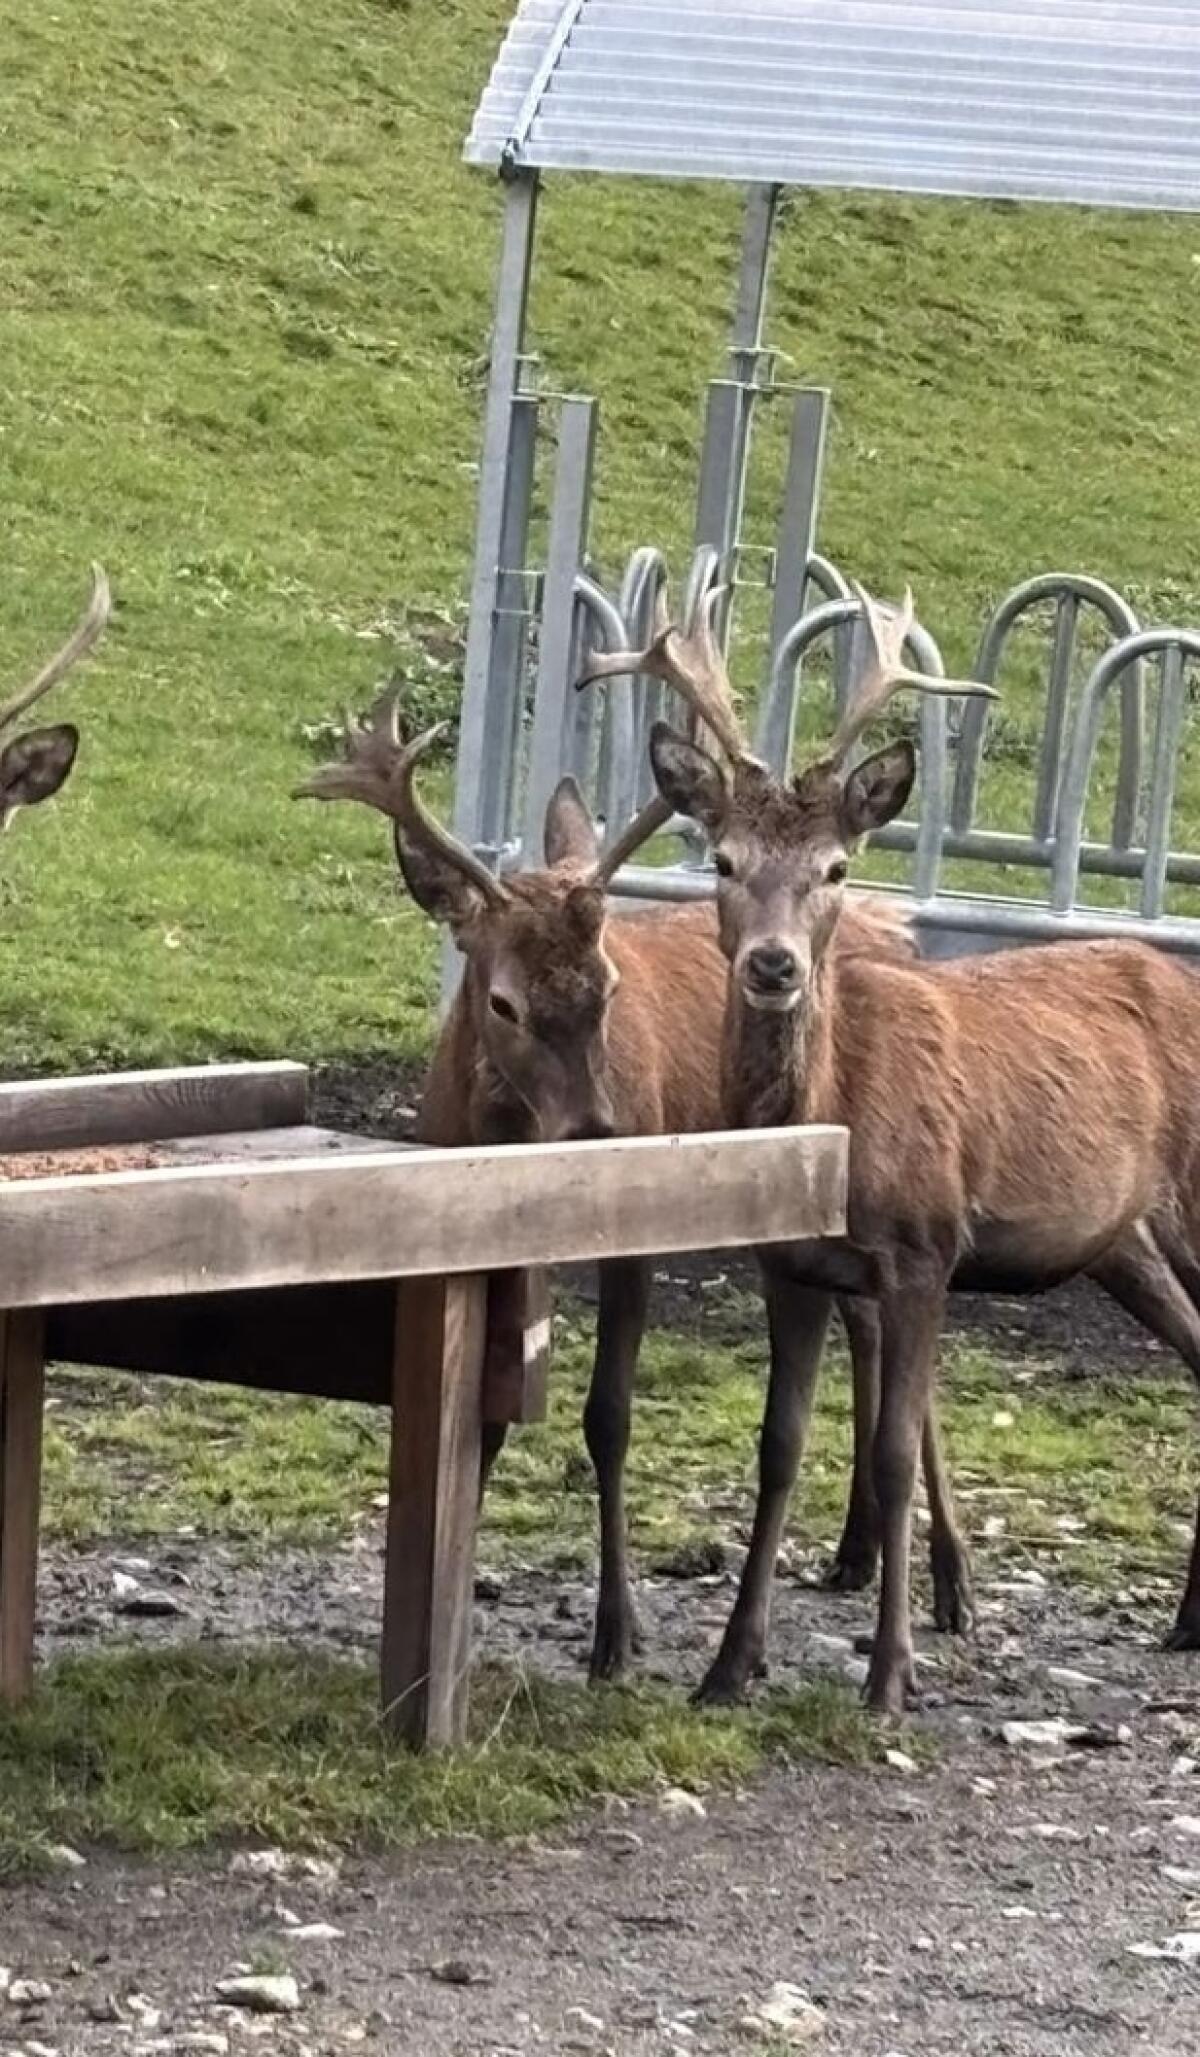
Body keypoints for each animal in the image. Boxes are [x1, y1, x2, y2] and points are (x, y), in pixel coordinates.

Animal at [295, 686, 971, 1682]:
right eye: (501, 1001)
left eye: (611, 987)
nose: (599, 1131)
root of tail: (899, 926)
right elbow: (482, 1422)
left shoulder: (634, 1244)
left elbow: (608, 1415)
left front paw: (617, 1632)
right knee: (869, 1324)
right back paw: (854, 1552)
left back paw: (953, 1583)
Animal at [579, 583, 1200, 1715]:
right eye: (723, 859)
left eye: (835, 866)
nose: (774, 964)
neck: (840, 1118)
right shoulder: (791, 1263)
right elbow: (780, 1446)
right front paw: (728, 1665)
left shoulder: (923, 1248)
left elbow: (894, 1450)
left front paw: (890, 1673)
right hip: (1122, 1239)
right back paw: (1186, 1617)